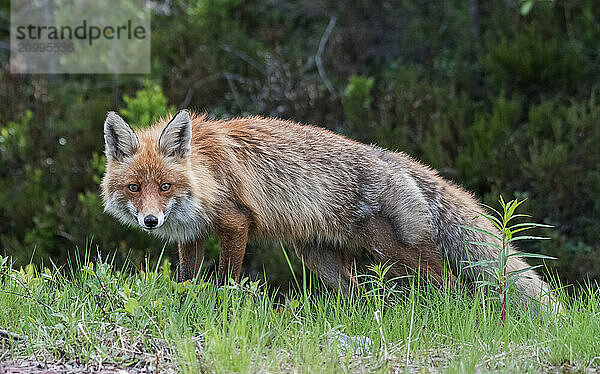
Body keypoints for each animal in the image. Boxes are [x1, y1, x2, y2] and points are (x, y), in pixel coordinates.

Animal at [101, 109, 556, 308]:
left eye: (165, 186)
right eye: (134, 188)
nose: (151, 220)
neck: (204, 171)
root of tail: (392, 157)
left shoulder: (235, 221)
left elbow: (228, 277)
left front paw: (222, 307)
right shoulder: (192, 236)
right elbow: (186, 281)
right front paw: (186, 306)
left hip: (393, 250)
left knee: (448, 280)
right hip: (319, 259)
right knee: (357, 295)